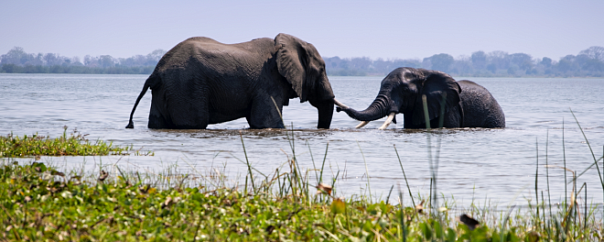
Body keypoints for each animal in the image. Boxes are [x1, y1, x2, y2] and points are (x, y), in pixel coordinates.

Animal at [126, 33, 344, 130]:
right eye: (322, 69)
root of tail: (156, 72)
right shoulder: (267, 84)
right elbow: (268, 123)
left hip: (167, 90)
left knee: (157, 122)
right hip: (185, 88)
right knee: (194, 122)